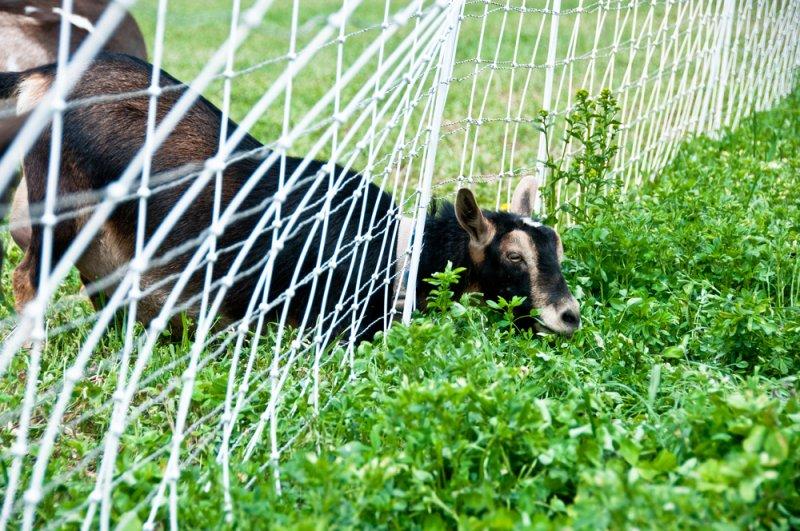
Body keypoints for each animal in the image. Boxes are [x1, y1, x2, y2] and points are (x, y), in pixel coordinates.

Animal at [0, 54, 580, 342]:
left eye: (556, 247)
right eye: (513, 257)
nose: (568, 316)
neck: (396, 254)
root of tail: (40, 76)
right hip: (63, 207)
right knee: (26, 277)